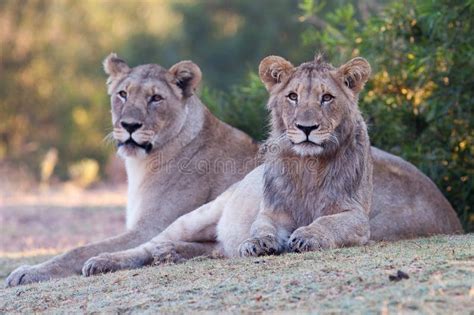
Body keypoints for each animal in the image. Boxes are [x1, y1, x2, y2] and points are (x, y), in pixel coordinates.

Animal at [6, 55, 260, 288]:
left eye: (156, 98)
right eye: (122, 94)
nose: (129, 125)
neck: (142, 164)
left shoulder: (148, 228)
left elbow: (79, 250)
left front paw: (27, 272)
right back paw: (168, 252)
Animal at [75, 55, 462, 272]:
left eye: (327, 98)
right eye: (122, 94)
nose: (306, 127)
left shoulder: (356, 218)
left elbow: (327, 223)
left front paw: (307, 236)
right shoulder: (269, 212)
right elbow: (260, 229)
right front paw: (261, 243)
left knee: (212, 249)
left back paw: (170, 255)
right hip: (198, 215)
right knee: (148, 246)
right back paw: (109, 261)